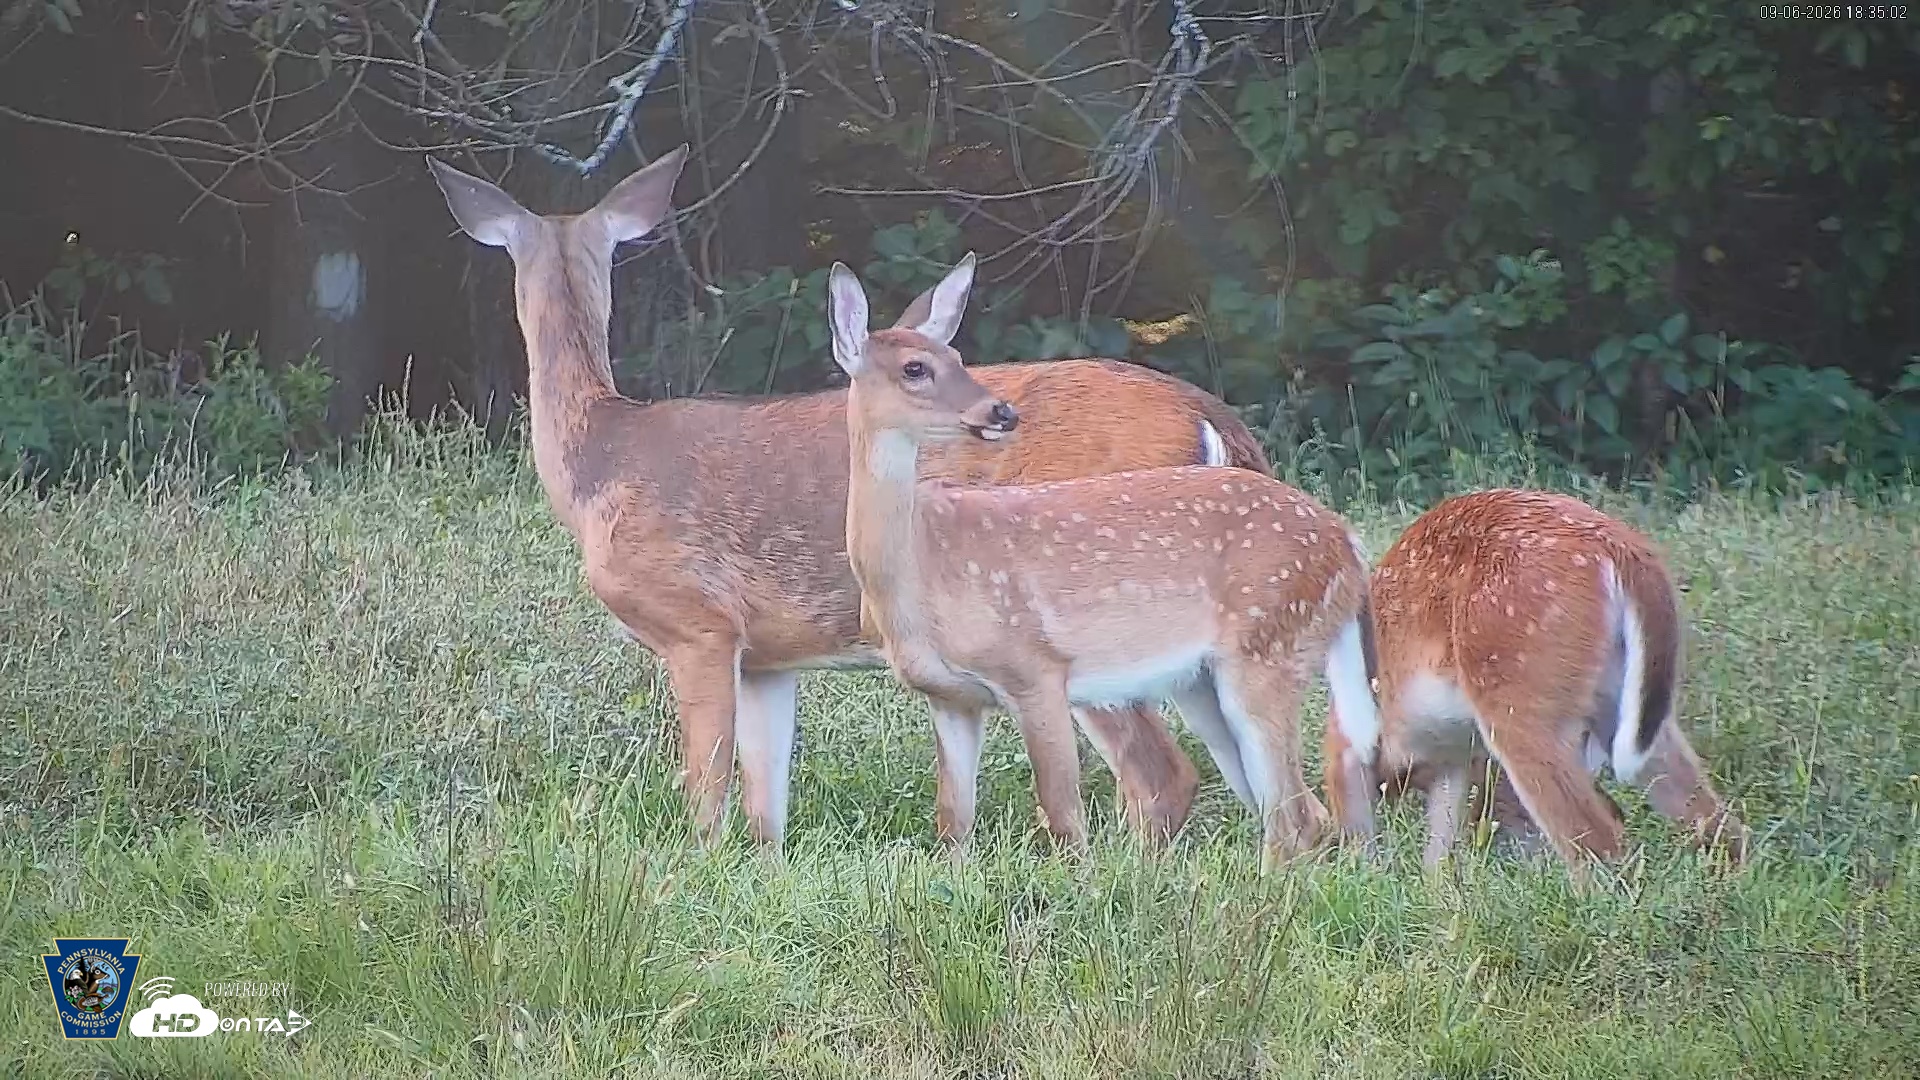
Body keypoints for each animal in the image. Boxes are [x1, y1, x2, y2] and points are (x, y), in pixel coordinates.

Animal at [427, 147, 1275, 854]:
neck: (598, 461)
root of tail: (1215, 421)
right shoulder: (768, 656)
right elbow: (765, 808)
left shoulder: (697, 621)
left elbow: (706, 794)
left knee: (1160, 776)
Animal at [824, 260, 1381, 870]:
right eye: (915, 368)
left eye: (958, 357)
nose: (1001, 411)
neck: (921, 564)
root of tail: (1349, 547)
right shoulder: (949, 698)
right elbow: (952, 824)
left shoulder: (1035, 668)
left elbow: (1063, 817)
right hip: (1206, 680)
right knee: (1296, 809)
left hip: (1265, 648)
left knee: (1293, 816)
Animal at [1320, 489, 1750, 875]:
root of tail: (1622, 549)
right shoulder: (1454, 760)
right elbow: (1439, 854)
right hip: (1623, 707)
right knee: (1718, 824)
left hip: (1520, 702)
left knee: (1596, 842)